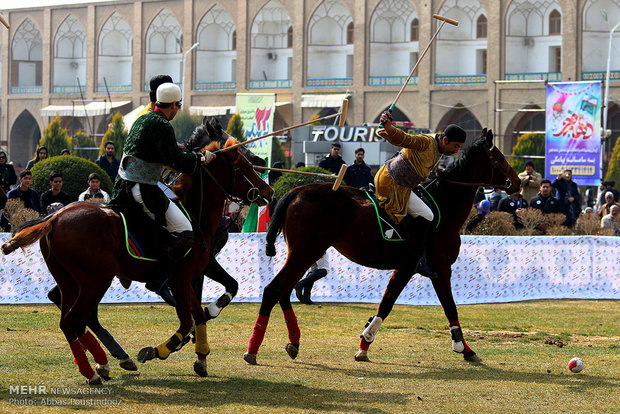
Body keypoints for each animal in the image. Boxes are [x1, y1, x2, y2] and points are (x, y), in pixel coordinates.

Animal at [2, 134, 272, 384]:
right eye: (245, 167)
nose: (269, 191)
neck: (195, 213)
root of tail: (54, 218)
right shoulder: (181, 277)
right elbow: (187, 320)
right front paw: (160, 350)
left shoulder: (193, 272)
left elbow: (205, 307)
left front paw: (201, 354)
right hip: (96, 280)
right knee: (75, 320)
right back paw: (97, 370)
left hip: (71, 281)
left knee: (69, 317)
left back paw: (106, 362)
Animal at [242, 129, 520, 366]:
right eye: (498, 158)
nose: (517, 183)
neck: (444, 206)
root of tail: (296, 191)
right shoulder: (430, 267)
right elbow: (405, 304)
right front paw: (365, 342)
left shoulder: (424, 269)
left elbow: (433, 306)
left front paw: (465, 348)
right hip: (304, 253)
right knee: (273, 290)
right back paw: (253, 350)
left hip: (303, 254)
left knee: (284, 291)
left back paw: (293, 342)